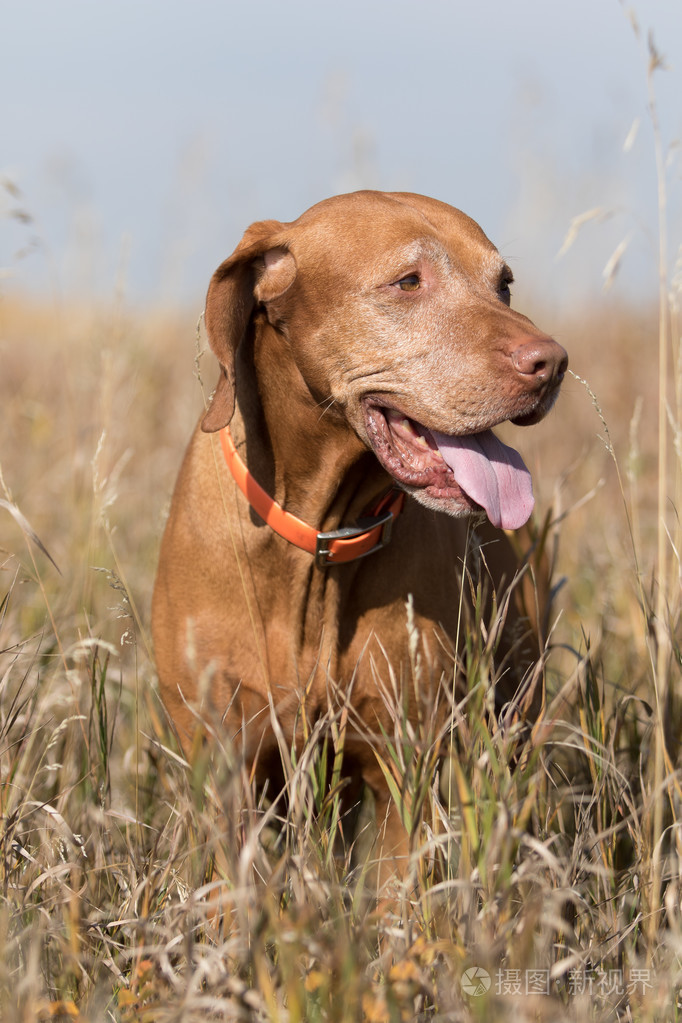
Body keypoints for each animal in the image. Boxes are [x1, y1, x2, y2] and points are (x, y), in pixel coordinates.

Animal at [153, 193, 564, 879]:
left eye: (503, 284)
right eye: (408, 282)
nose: (553, 365)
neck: (318, 537)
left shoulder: (407, 768)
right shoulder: (222, 766)